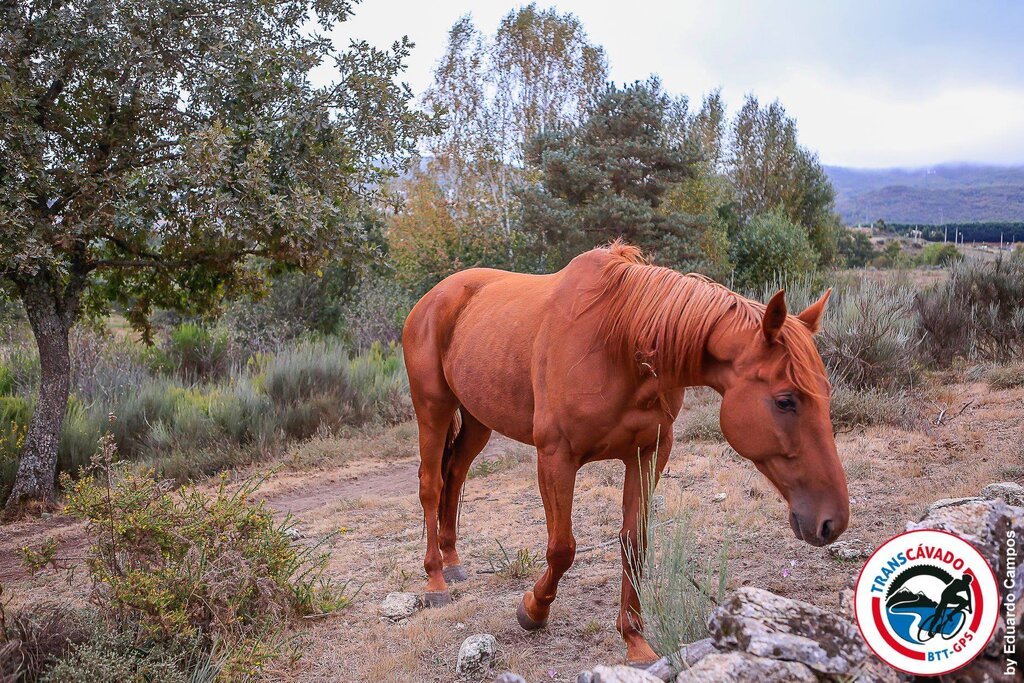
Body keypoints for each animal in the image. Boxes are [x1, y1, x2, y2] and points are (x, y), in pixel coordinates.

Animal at [399, 240, 847, 663]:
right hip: (434, 408)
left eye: (825, 391)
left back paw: (453, 561)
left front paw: (635, 640)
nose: (832, 521)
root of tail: (432, 297)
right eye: (785, 401)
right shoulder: (556, 457)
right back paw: (436, 579)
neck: (617, 342)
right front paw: (533, 610)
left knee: (455, 474)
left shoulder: (648, 453)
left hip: (478, 420)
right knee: (431, 484)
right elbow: (562, 549)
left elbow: (635, 543)